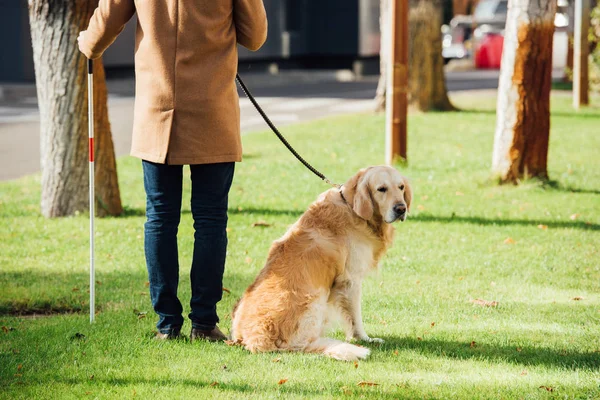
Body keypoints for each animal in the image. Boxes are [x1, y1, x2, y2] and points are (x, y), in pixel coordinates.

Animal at [231, 166, 412, 362]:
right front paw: (364, 339)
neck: (352, 208)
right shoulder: (351, 281)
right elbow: (355, 318)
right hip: (315, 300)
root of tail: (254, 340)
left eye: (401, 187)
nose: (401, 209)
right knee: (301, 345)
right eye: (381, 189)